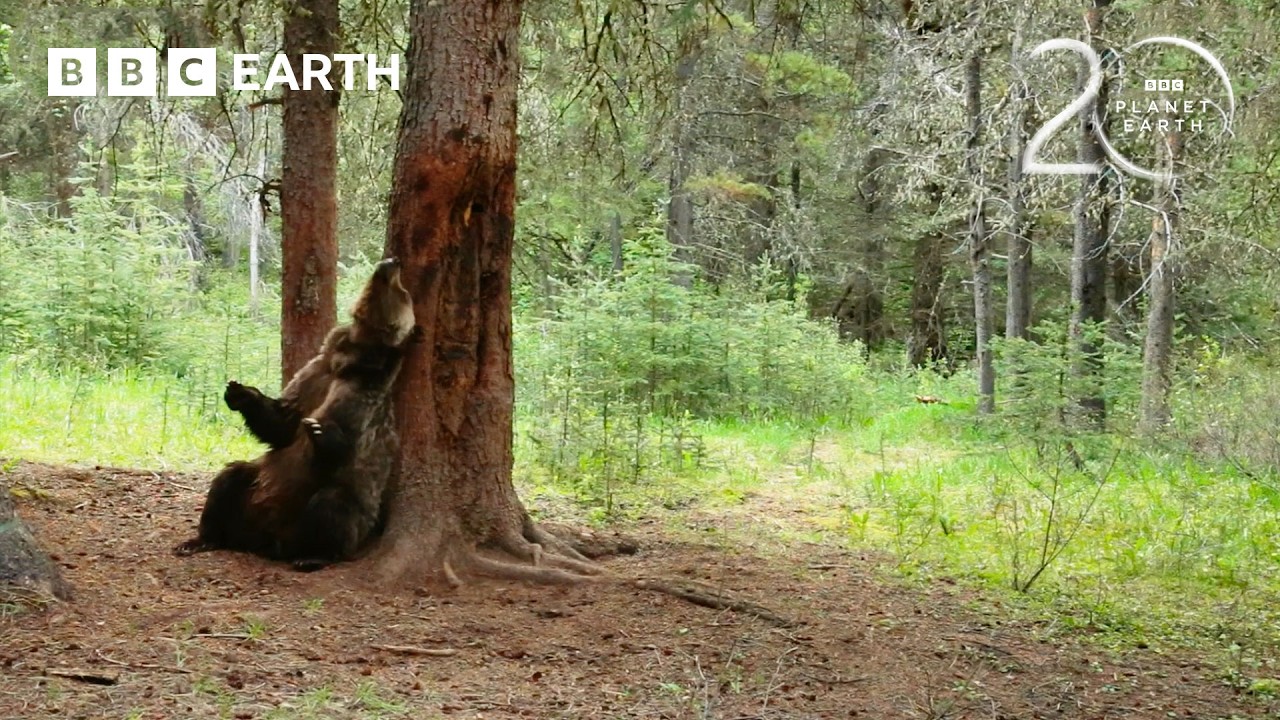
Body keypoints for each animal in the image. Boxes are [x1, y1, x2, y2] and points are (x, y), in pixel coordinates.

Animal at [173, 257, 417, 571]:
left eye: (404, 293)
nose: (392, 262)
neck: (349, 358)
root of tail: (270, 541)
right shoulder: (316, 373)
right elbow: (283, 422)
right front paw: (241, 392)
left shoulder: (363, 393)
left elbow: (340, 443)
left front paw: (320, 431)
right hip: (251, 491)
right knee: (229, 480)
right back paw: (201, 539)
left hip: (343, 509)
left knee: (332, 507)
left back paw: (312, 556)